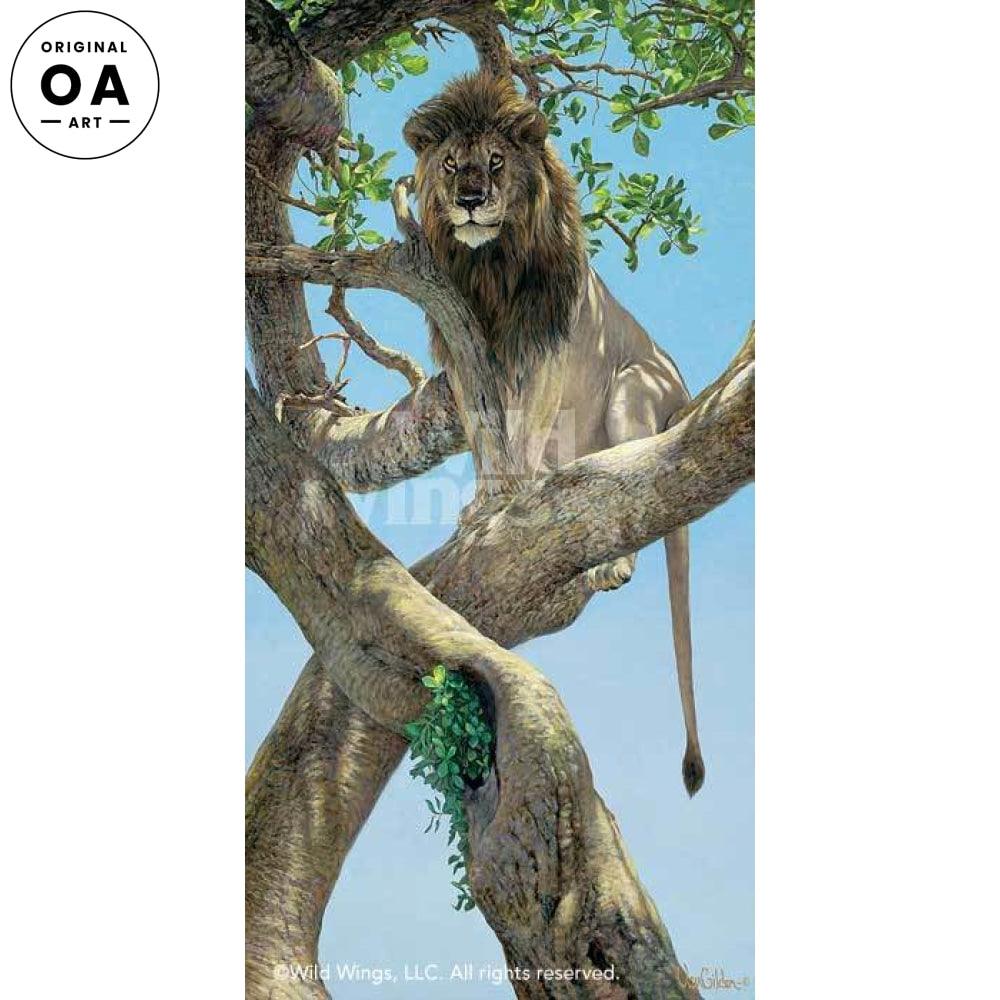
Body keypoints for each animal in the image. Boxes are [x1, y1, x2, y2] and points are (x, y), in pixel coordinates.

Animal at [403, 73, 705, 796]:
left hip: (633, 388)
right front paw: (483, 504)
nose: (470, 200)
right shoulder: (465, 357)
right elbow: (487, 434)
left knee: (636, 489)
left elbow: (524, 430)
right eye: (451, 165)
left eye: (495, 163)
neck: (490, 269)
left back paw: (609, 558)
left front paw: (507, 502)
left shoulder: (546, 347)